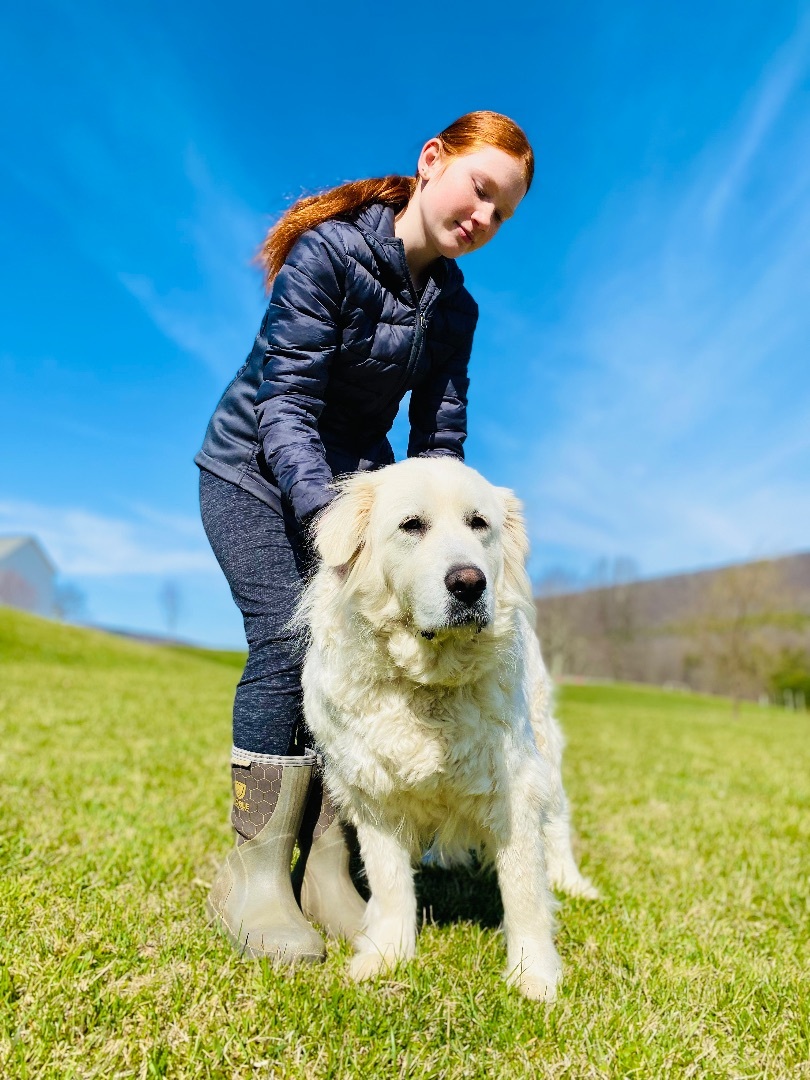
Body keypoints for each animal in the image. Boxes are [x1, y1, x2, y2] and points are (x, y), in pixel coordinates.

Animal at [295, 457, 596, 1002]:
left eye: (478, 524)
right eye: (412, 525)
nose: (469, 583)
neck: (427, 682)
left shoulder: (515, 787)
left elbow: (524, 892)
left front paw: (534, 976)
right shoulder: (373, 795)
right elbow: (391, 885)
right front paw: (387, 956)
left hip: (546, 750)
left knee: (558, 823)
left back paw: (571, 881)